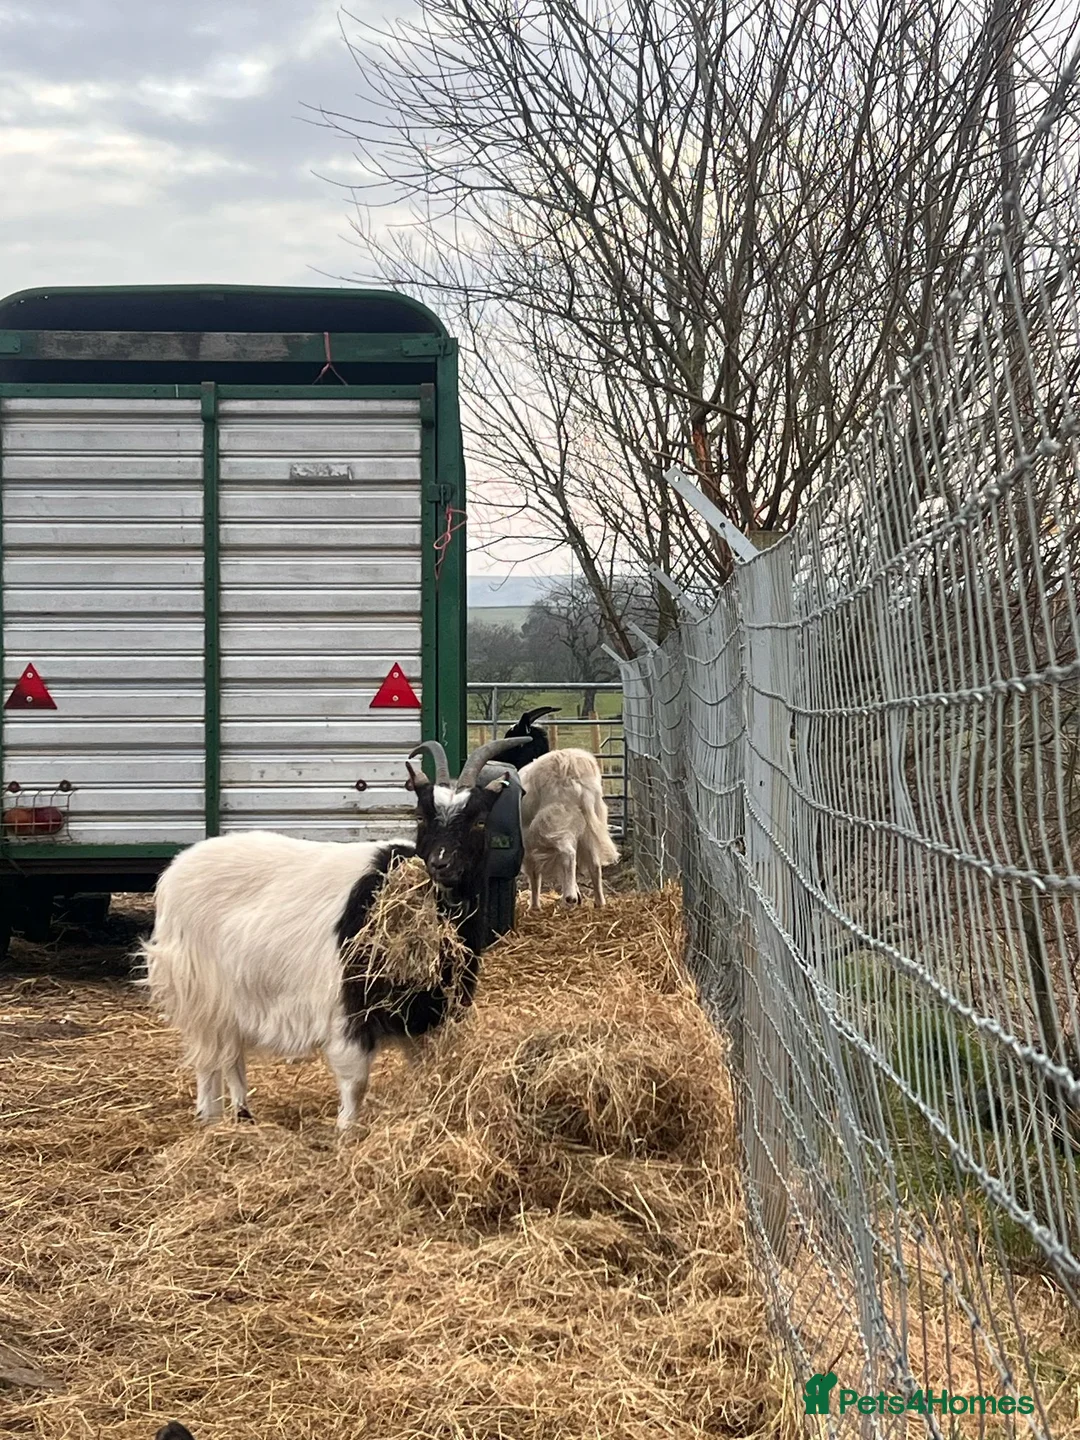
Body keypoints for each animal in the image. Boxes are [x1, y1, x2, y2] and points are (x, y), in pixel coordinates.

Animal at [139, 737, 528, 1129]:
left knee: (231, 1054)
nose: (441, 864)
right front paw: (347, 1132)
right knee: (209, 1057)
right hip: (199, 990)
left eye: (480, 821)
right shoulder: (350, 1009)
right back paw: (210, 1117)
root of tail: (175, 871)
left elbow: (426, 1074)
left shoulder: (428, 1017)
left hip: (235, 995)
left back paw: (241, 1115)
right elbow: (355, 1081)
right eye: (421, 816)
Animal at [518, 748, 620, 908]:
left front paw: (534, 906)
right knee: (594, 864)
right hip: (589, 826)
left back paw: (570, 897)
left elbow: (534, 876)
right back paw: (599, 902)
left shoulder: (529, 846)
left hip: (554, 821)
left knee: (569, 854)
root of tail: (572, 765)